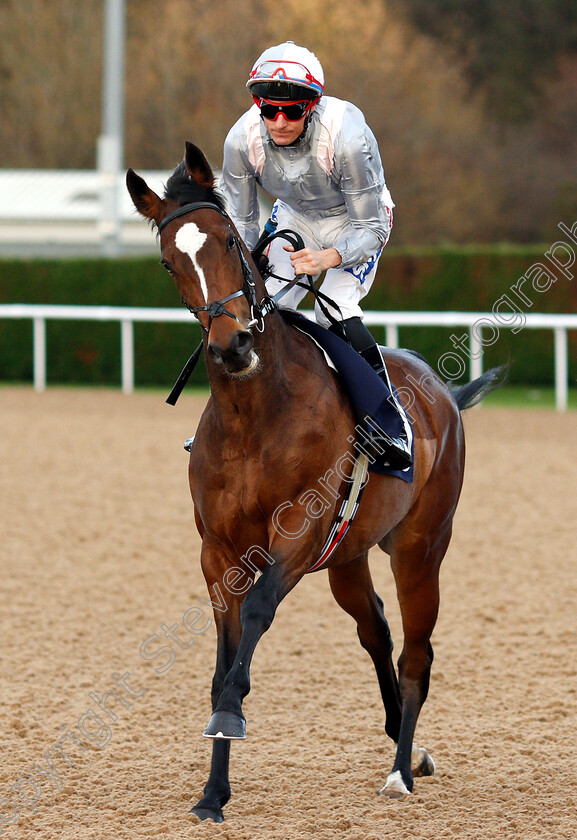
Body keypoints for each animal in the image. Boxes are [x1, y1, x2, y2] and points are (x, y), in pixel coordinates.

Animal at [126, 143, 500, 820]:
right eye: (170, 262)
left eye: (229, 240)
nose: (231, 344)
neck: (254, 415)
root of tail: (443, 393)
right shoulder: (218, 551)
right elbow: (223, 657)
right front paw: (212, 792)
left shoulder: (298, 531)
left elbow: (256, 616)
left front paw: (230, 717)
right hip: (347, 556)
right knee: (375, 628)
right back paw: (404, 744)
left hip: (421, 547)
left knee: (416, 652)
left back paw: (400, 769)